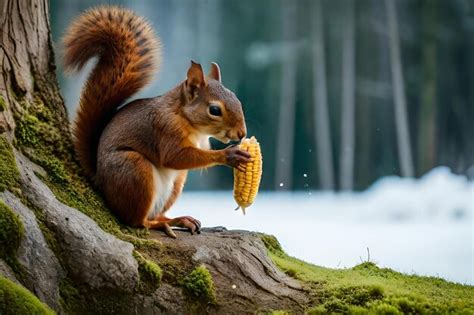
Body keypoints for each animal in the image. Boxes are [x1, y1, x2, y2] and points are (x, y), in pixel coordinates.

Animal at [63, 6, 252, 238]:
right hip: (135, 170)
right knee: (136, 221)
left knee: (157, 213)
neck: (188, 121)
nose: (242, 134)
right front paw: (229, 155)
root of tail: (100, 182)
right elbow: (175, 156)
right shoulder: (164, 129)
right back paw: (157, 224)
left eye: (236, 99)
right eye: (215, 110)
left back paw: (179, 219)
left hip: (176, 183)